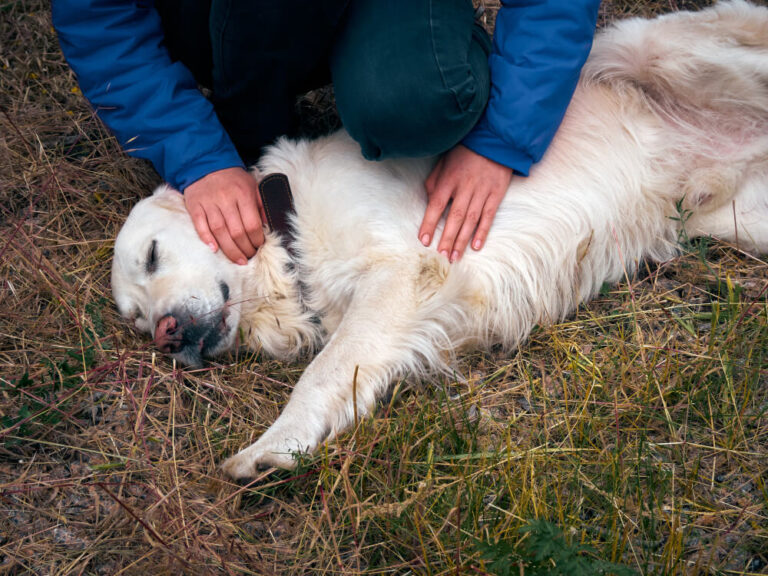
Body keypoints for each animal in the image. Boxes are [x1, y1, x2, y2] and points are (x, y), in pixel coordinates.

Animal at [111, 1, 768, 476]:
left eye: (153, 255)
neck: (289, 221)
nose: (167, 336)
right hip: (736, 219)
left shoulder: (406, 272)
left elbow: (320, 373)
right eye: (137, 320)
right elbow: (346, 376)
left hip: (663, 54)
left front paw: (272, 447)